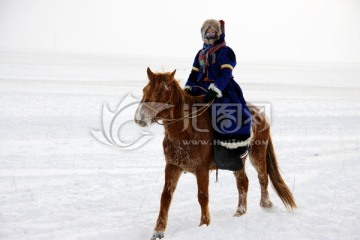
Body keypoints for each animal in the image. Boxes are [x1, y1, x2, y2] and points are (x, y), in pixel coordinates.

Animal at [134, 68, 296, 240]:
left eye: (160, 92)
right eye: (144, 90)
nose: (139, 118)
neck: (186, 130)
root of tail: (260, 114)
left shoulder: (202, 169)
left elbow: (202, 196)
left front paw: (204, 224)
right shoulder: (172, 166)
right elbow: (165, 197)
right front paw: (158, 231)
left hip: (257, 154)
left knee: (263, 178)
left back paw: (265, 205)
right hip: (237, 161)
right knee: (243, 183)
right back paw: (239, 213)